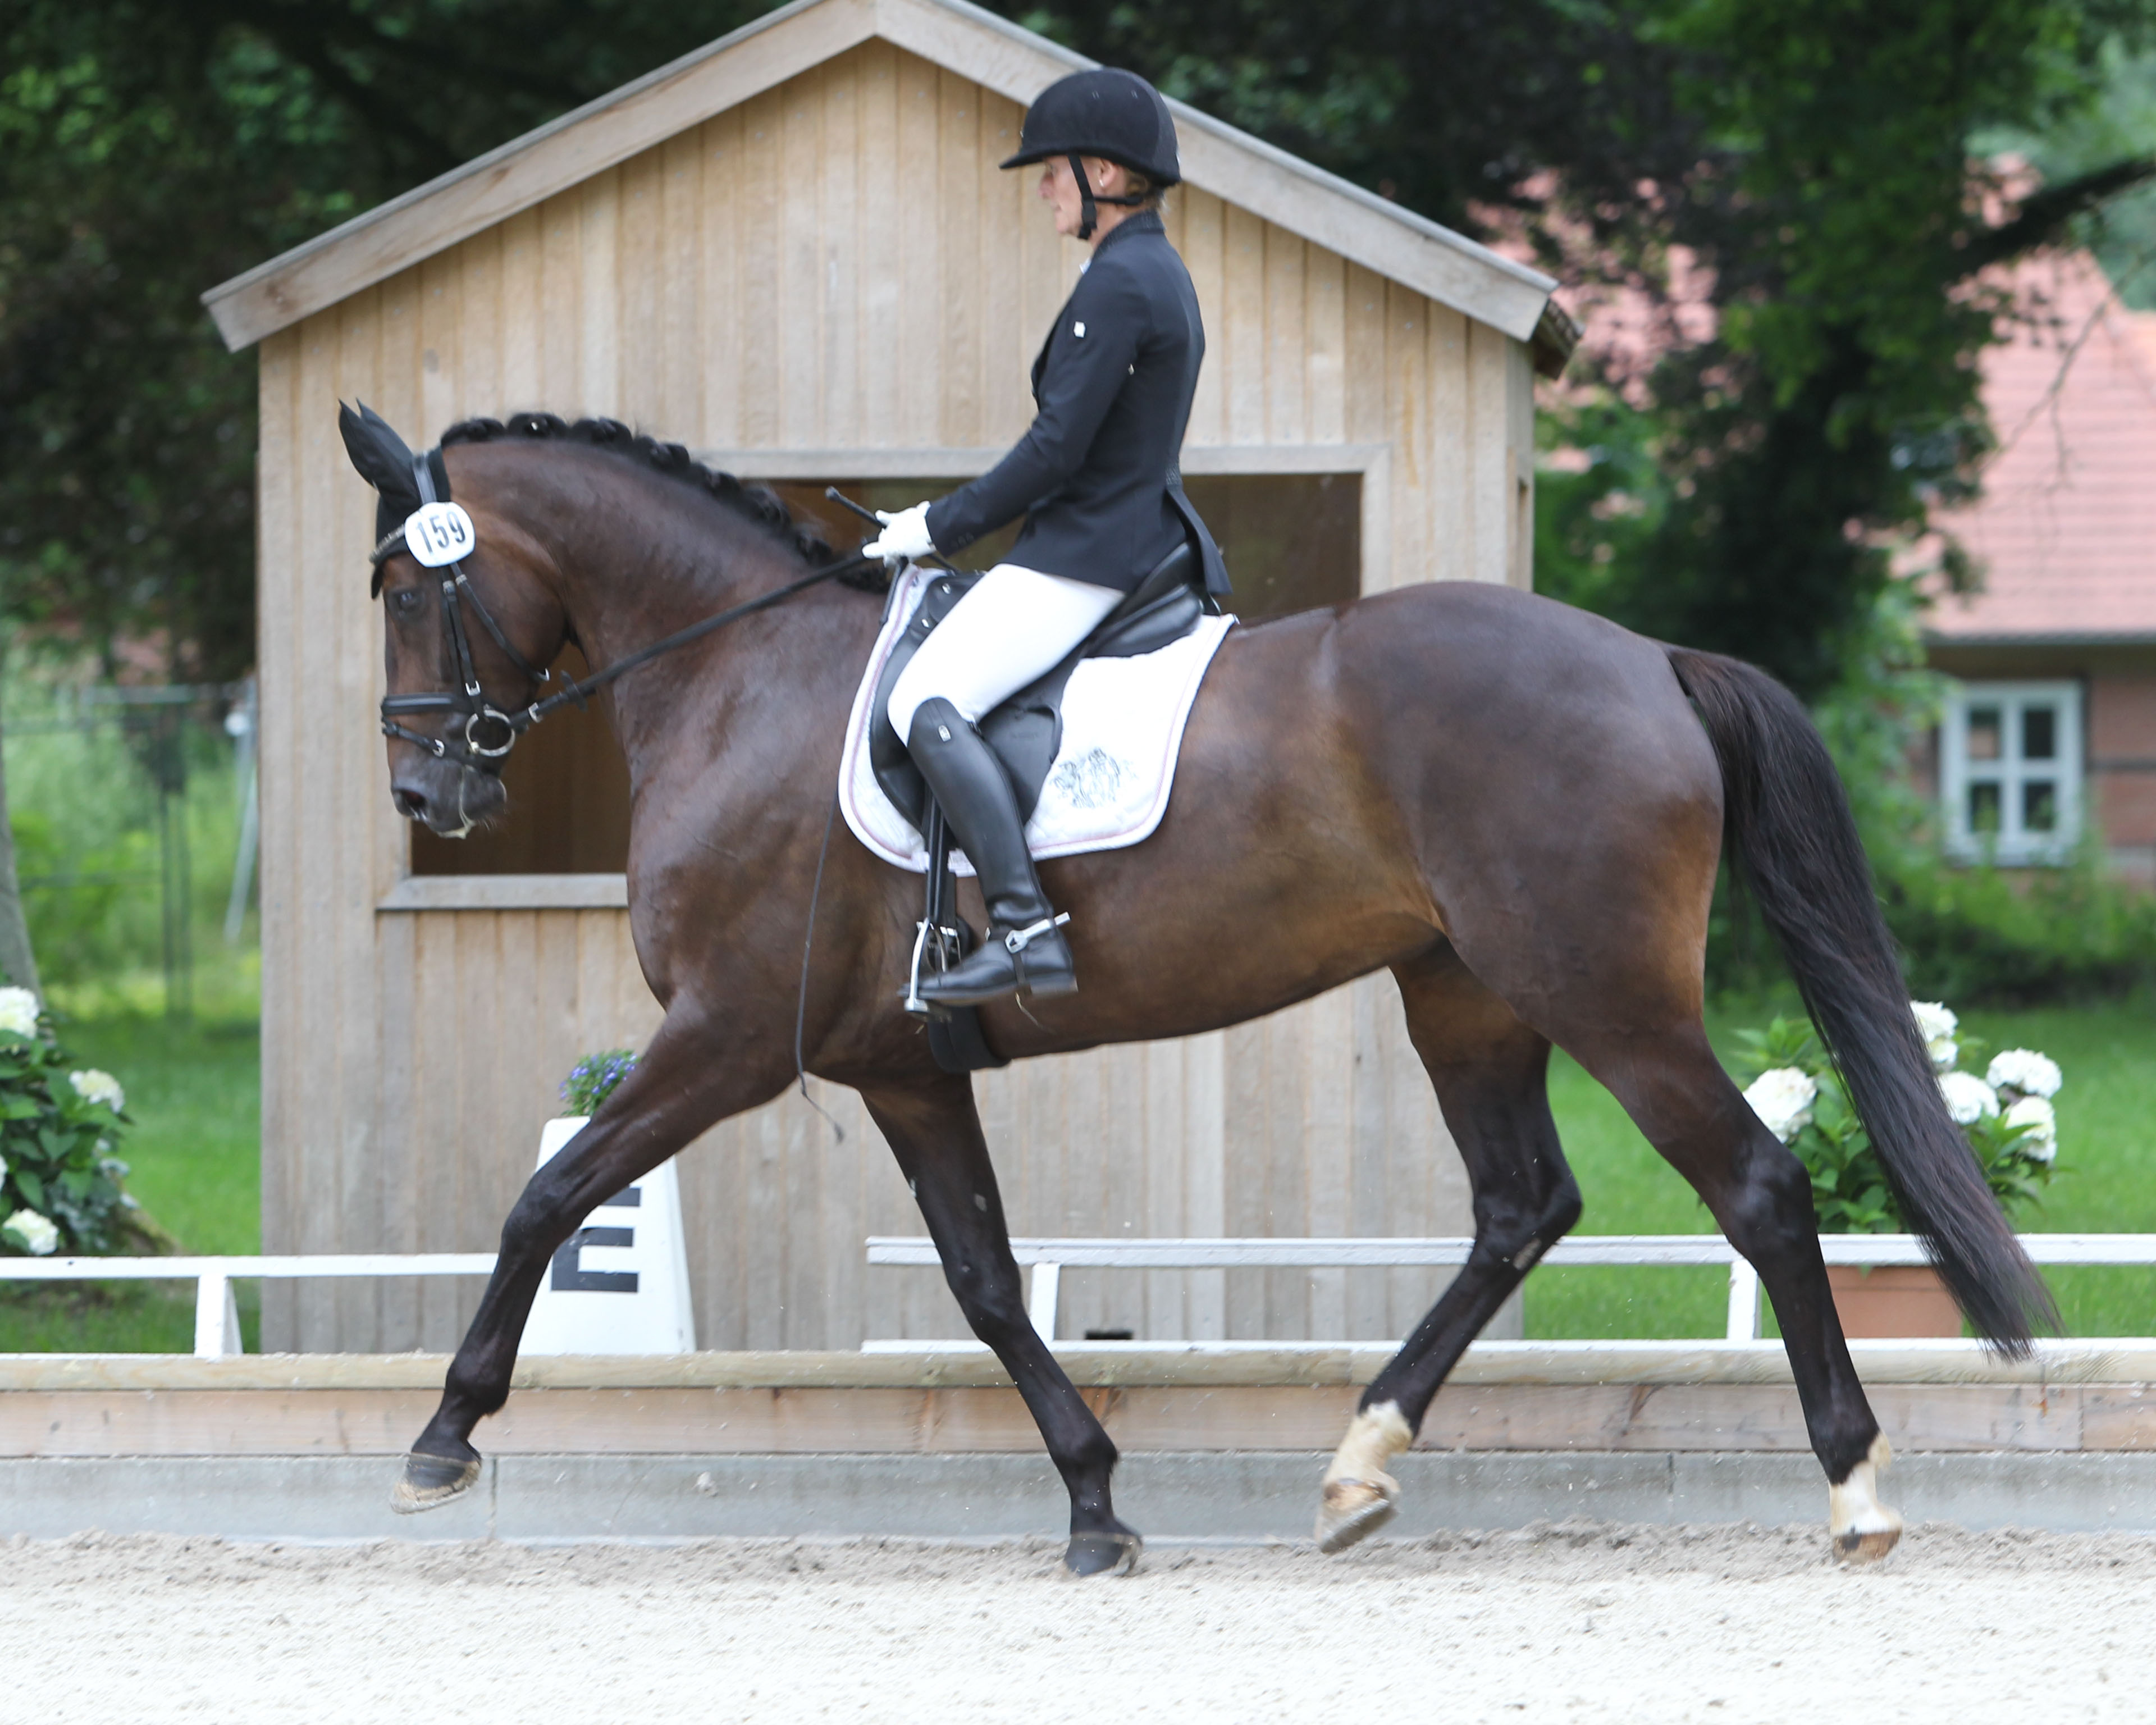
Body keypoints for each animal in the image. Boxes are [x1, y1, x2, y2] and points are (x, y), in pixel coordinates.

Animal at [345, 405, 2044, 1578]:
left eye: (402, 592)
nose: (430, 793)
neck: (737, 683)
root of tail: (1648, 659)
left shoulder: (727, 1037)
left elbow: (550, 1196)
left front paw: (441, 1435)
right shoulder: (900, 1066)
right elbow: (982, 1279)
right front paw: (1097, 1503)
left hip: (1601, 995)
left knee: (1754, 1185)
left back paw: (1855, 1490)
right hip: (1464, 992)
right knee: (1520, 1206)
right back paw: (1357, 1464)